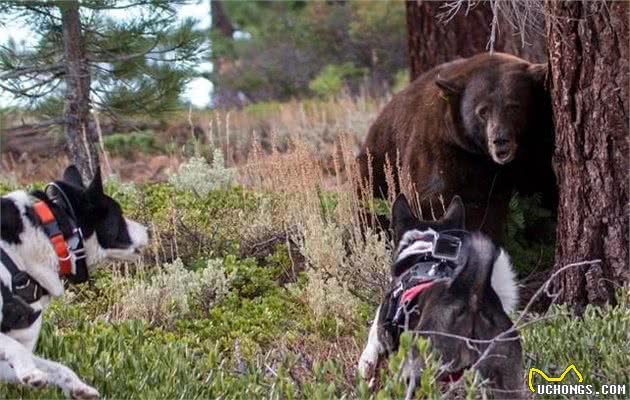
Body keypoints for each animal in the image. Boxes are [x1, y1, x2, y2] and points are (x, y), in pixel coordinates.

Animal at [0, 165, 149, 396]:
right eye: (119, 214)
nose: (148, 230)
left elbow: (59, 368)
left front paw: (80, 388)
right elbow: (19, 351)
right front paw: (30, 373)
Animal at [358, 194, 524, 396]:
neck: (427, 252)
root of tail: (472, 294)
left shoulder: (384, 328)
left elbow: (372, 342)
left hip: (419, 369)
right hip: (506, 379)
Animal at [360, 52, 556, 241]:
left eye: (514, 106)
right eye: (483, 111)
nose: (499, 140)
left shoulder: (537, 147)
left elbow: (544, 188)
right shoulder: (445, 149)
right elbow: (439, 199)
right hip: (379, 165)